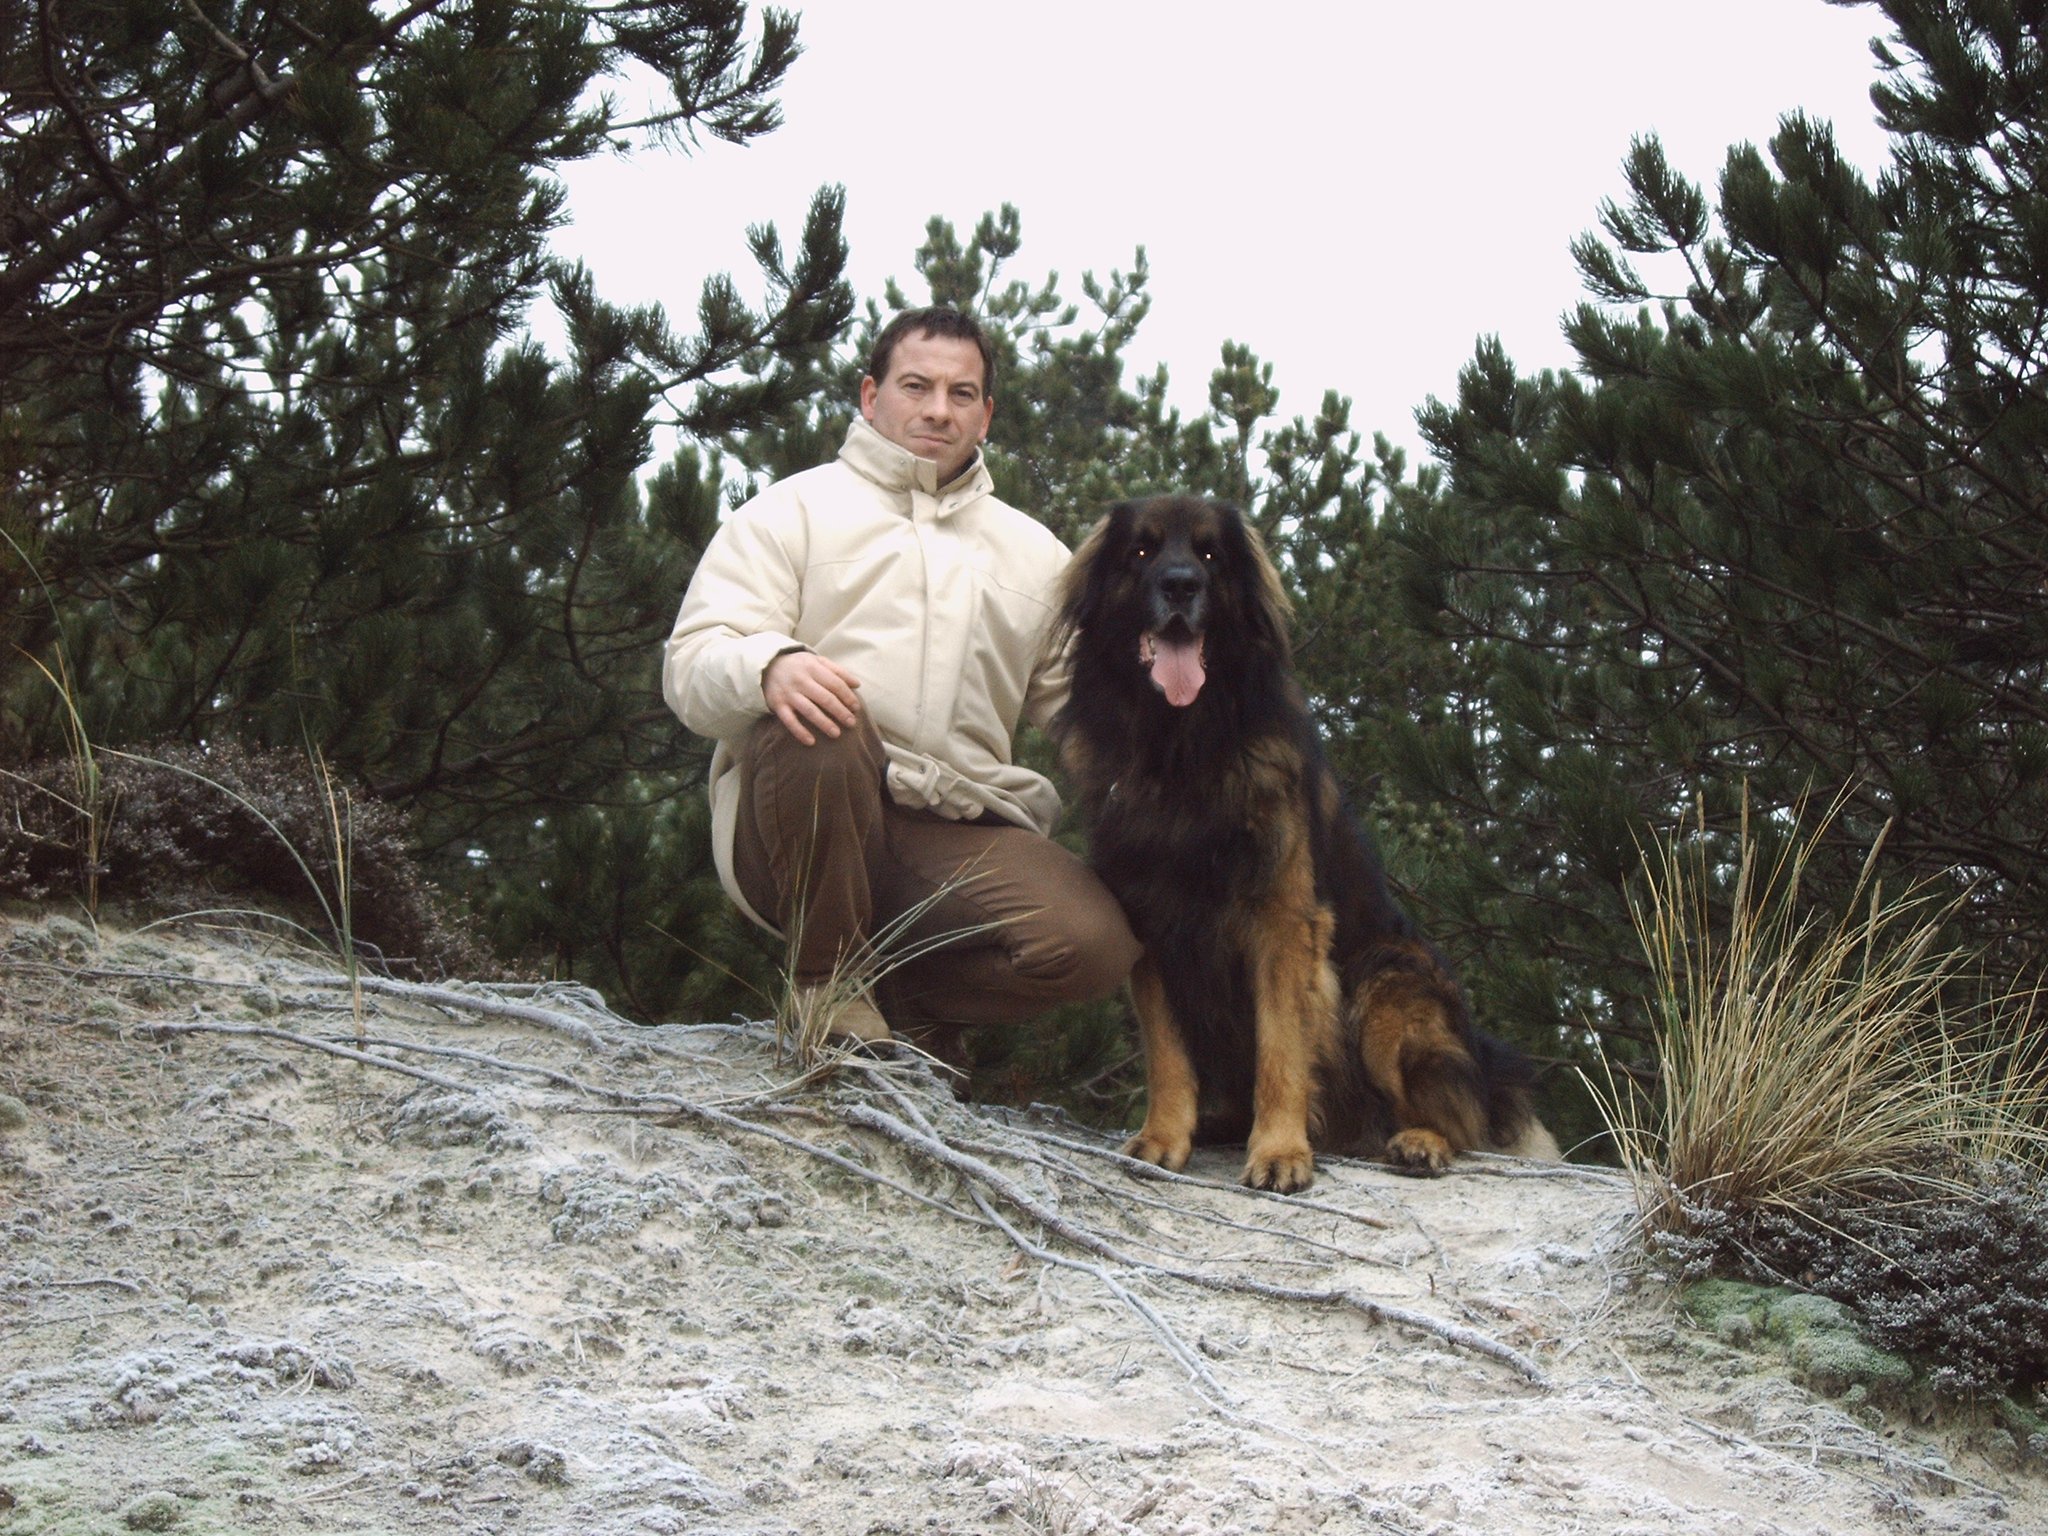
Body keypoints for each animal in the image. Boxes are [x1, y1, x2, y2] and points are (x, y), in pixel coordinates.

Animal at [1051, 495, 1554, 1191]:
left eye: (1210, 553)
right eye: (1143, 551)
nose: (1181, 585)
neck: (1181, 747)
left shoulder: (1283, 921)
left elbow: (1282, 1049)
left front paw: (1281, 1151)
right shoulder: (1149, 927)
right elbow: (1167, 1052)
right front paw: (1163, 1136)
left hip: (1388, 988)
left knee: (1460, 1115)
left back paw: (1420, 1140)